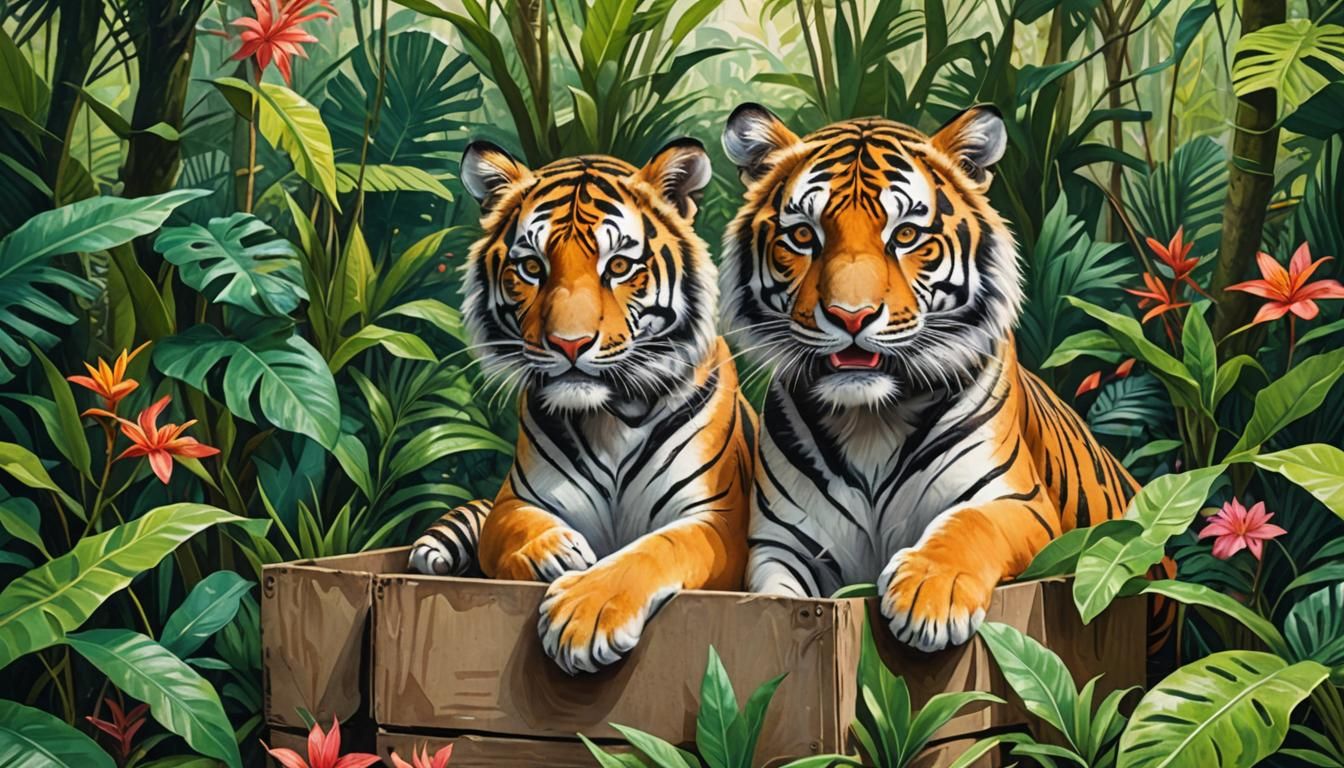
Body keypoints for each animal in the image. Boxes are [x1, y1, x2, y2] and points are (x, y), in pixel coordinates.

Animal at [407, 139, 756, 675]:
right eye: (532, 267)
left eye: (618, 267)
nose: (569, 344)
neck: (610, 417)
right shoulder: (515, 500)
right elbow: (512, 528)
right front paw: (553, 553)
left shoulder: (716, 521)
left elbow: (653, 549)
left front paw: (584, 617)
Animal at [719, 103, 1138, 652]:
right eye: (804, 236)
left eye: (905, 236)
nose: (851, 316)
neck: (869, 421)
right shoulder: (786, 541)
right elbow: (777, 593)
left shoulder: (1018, 503)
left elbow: (968, 522)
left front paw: (931, 596)